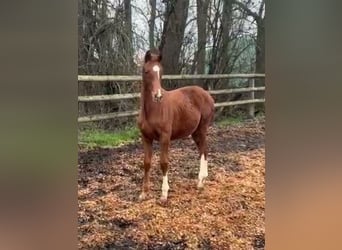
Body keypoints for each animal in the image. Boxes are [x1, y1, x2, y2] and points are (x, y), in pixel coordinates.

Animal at [137, 49, 214, 203]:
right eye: (146, 71)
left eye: (161, 72)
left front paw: (164, 194)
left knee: (204, 150)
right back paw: (201, 182)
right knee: (203, 150)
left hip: (202, 129)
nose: (157, 96)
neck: (152, 110)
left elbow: (164, 162)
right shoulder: (146, 137)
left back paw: (200, 181)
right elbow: (147, 162)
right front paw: (144, 193)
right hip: (195, 132)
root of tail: (208, 95)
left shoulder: (165, 137)